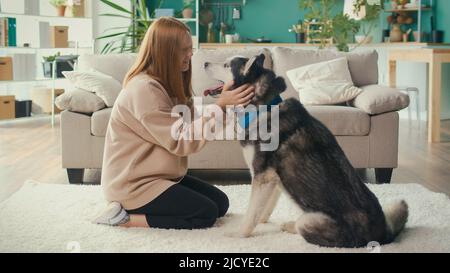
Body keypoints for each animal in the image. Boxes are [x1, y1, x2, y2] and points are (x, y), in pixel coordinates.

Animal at [206, 53, 410, 246]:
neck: (262, 108)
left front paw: (239, 234)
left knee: (301, 225)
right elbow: (263, 209)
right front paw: (263, 222)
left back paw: (291, 225)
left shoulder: (263, 176)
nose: (205, 63)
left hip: (310, 221)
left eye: (226, 65)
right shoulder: (273, 179)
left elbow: (251, 214)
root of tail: (383, 234)